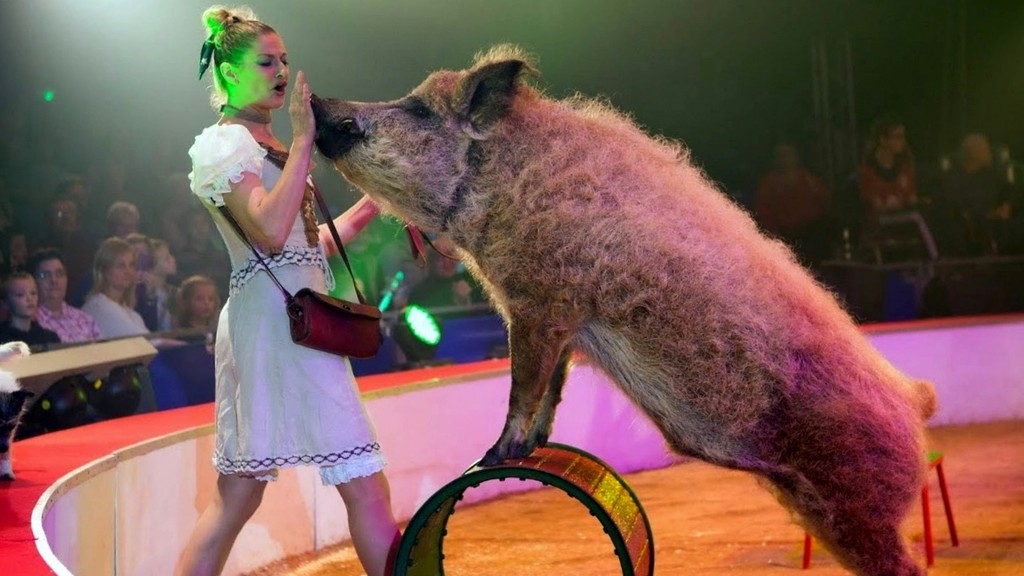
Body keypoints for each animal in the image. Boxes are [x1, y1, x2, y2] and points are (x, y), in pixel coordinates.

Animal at [311, 44, 937, 575]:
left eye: (417, 108)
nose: (316, 99)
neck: (502, 193)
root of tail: (915, 406)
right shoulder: (561, 324)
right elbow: (553, 389)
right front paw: (532, 450)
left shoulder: (540, 301)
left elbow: (523, 385)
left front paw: (495, 455)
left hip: (857, 508)